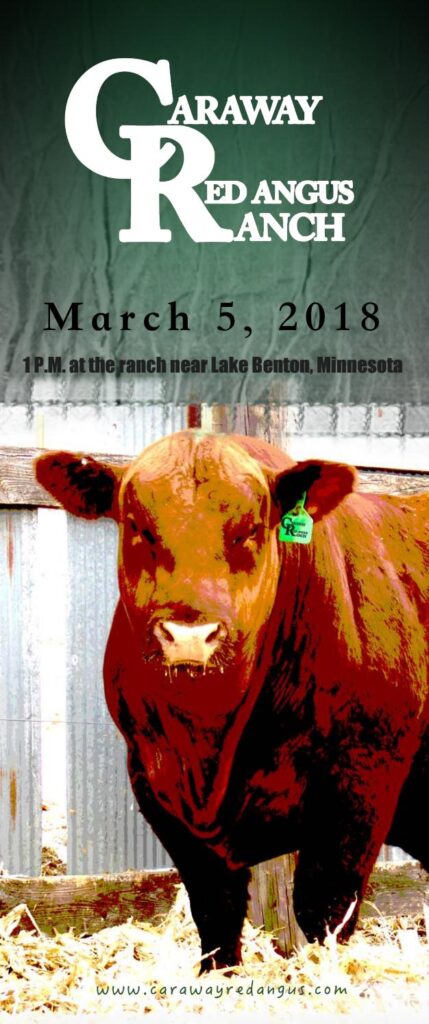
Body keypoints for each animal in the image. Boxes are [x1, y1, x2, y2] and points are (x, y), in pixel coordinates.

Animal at [34, 430, 429, 970]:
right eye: (137, 526)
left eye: (250, 531)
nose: (189, 635)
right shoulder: (156, 785)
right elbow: (214, 912)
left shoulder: (362, 784)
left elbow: (323, 909)